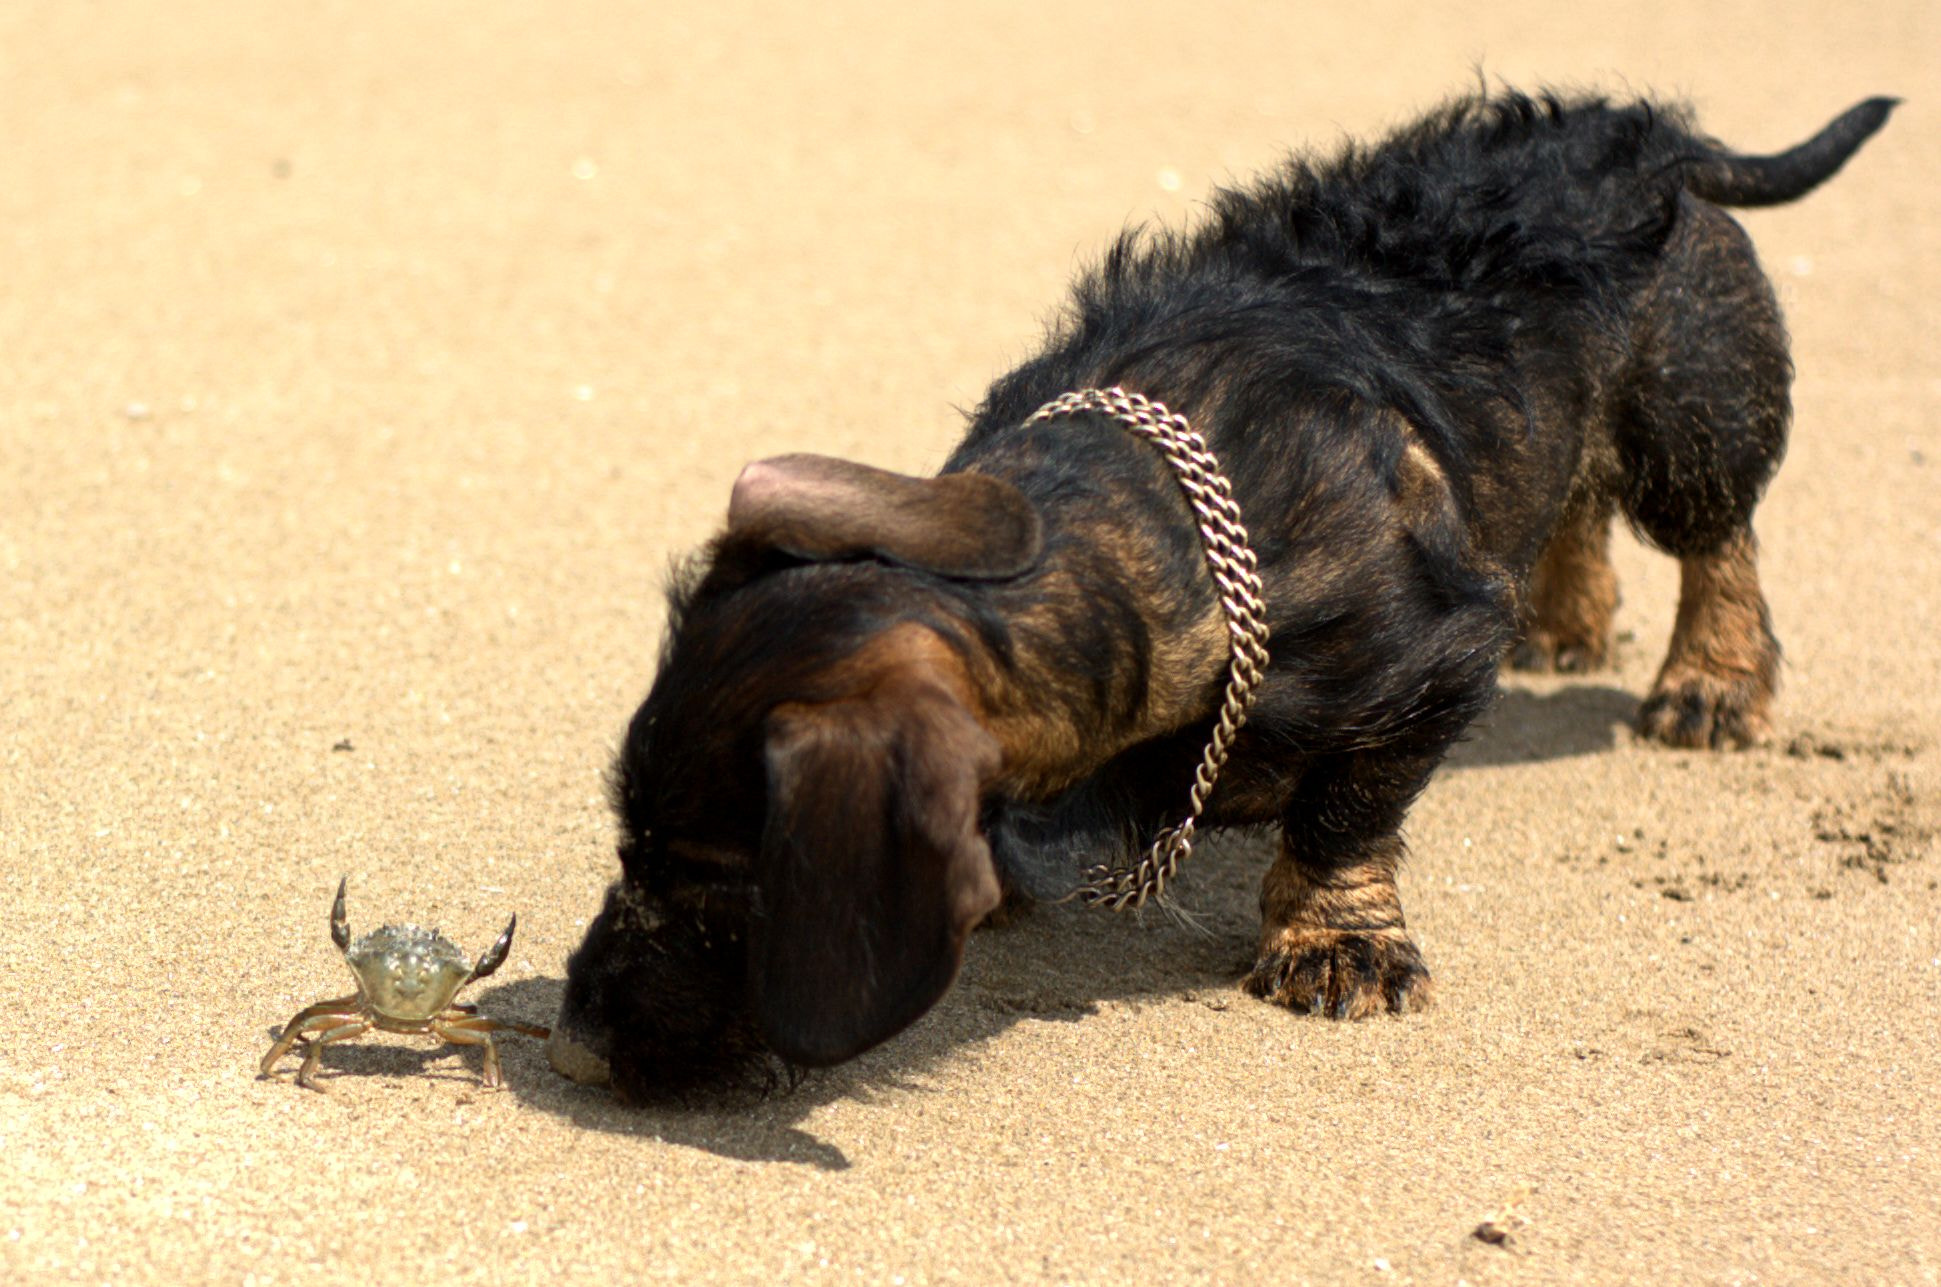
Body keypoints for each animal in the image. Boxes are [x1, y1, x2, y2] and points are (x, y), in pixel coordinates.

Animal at [543, 88, 1894, 1094]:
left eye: (720, 882)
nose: (575, 1043)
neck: (1149, 516)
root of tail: (1641, 129)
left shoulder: (1427, 664)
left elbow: (1347, 808)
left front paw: (1338, 941)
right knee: (1572, 494)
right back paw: (1566, 620)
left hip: (1694, 408)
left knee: (1719, 540)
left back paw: (1708, 685)